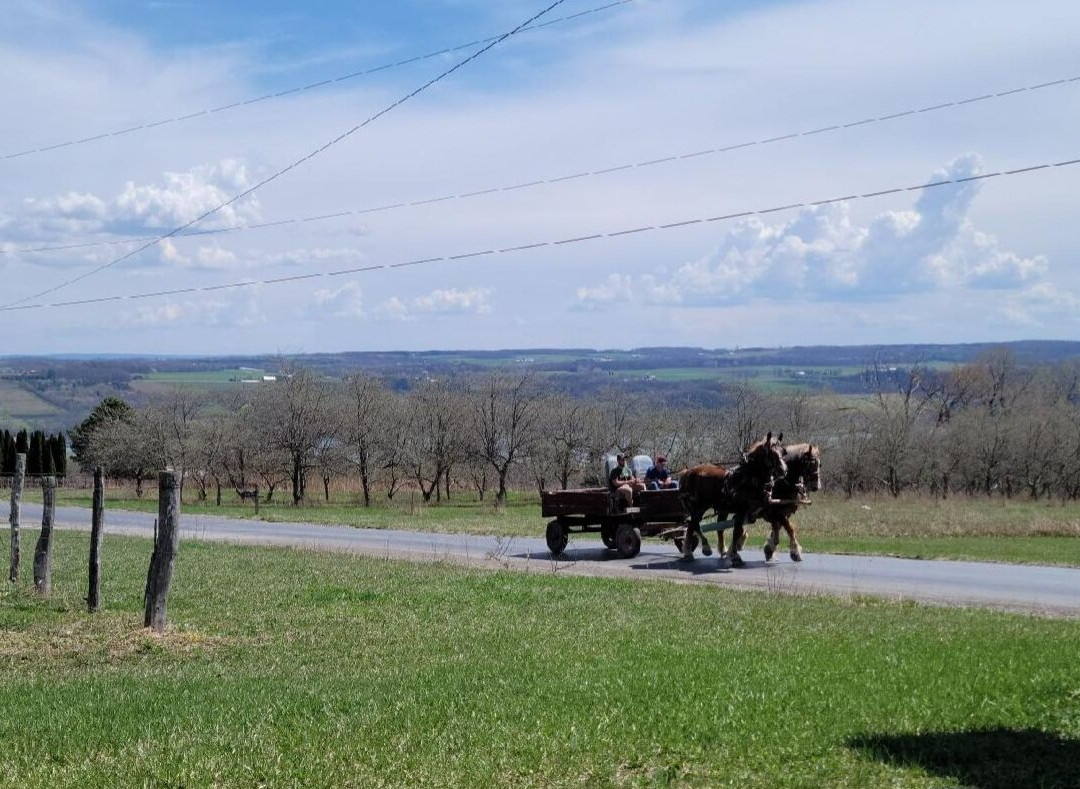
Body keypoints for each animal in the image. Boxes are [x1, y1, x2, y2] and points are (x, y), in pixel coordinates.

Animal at [673, 431, 786, 569]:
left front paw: (733, 552)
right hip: (699, 507)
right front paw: (735, 557)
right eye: (771, 453)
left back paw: (698, 551)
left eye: (783, 451)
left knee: (694, 526)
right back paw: (699, 549)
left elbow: (740, 531)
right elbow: (736, 531)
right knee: (693, 525)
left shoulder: (749, 512)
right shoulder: (741, 510)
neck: (748, 478)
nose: (784, 470)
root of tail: (688, 472)